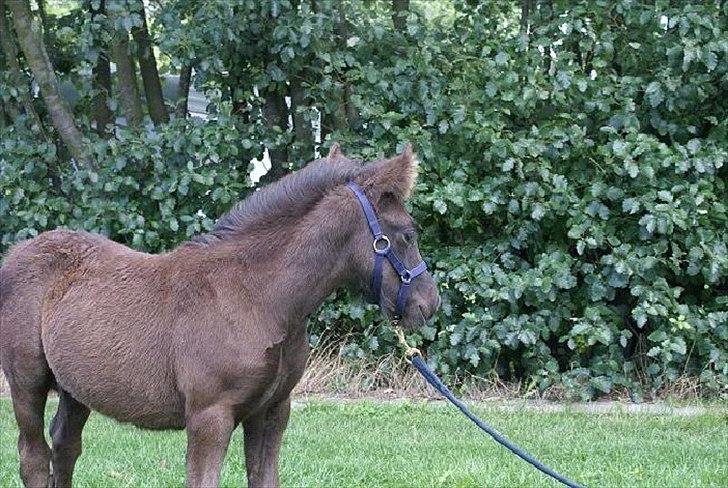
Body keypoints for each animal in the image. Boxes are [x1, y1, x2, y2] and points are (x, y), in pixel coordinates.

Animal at [0, 143, 440, 488]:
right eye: (408, 233)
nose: (429, 303)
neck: (256, 297)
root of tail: (16, 254)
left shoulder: (271, 411)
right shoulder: (209, 417)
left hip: (76, 387)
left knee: (65, 448)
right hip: (26, 382)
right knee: (34, 458)